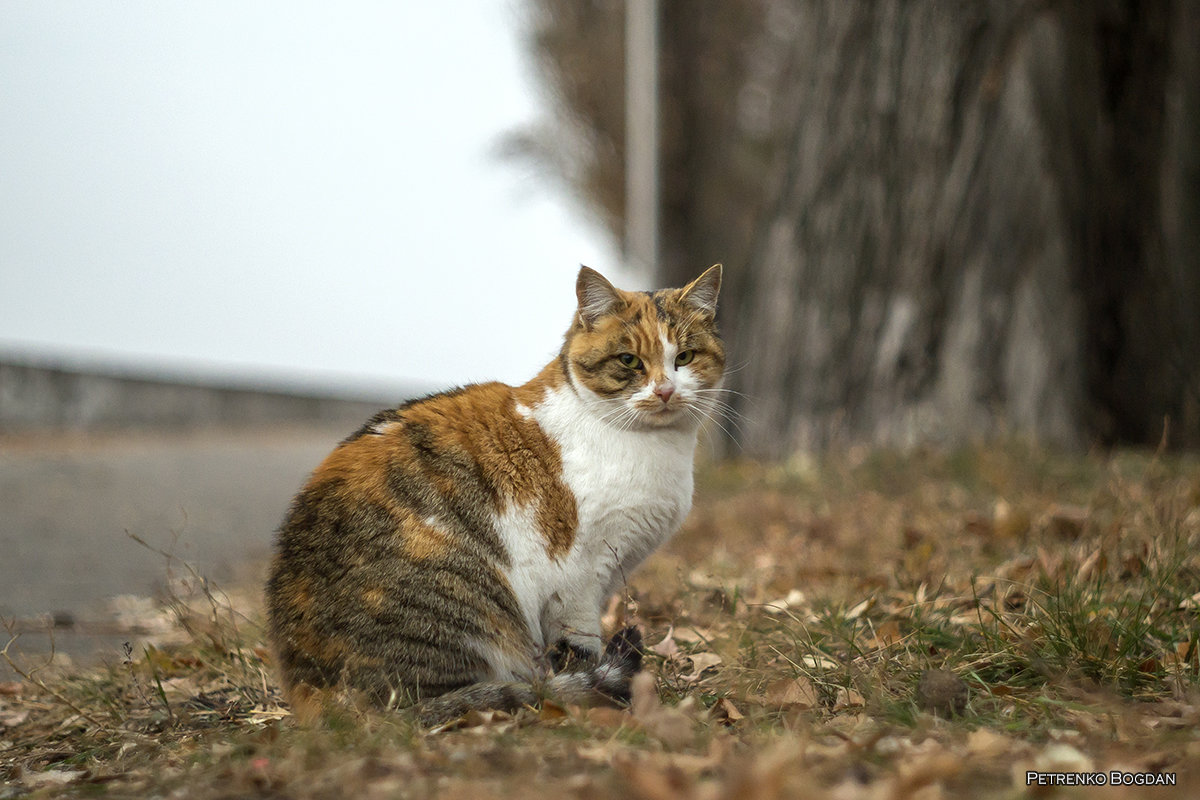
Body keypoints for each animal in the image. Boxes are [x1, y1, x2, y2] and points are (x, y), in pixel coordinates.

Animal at [265, 266, 720, 729]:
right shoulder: (578, 580)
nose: (665, 391)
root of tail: (308, 688)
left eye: (684, 357)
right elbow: (581, 648)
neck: (655, 447)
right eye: (629, 361)